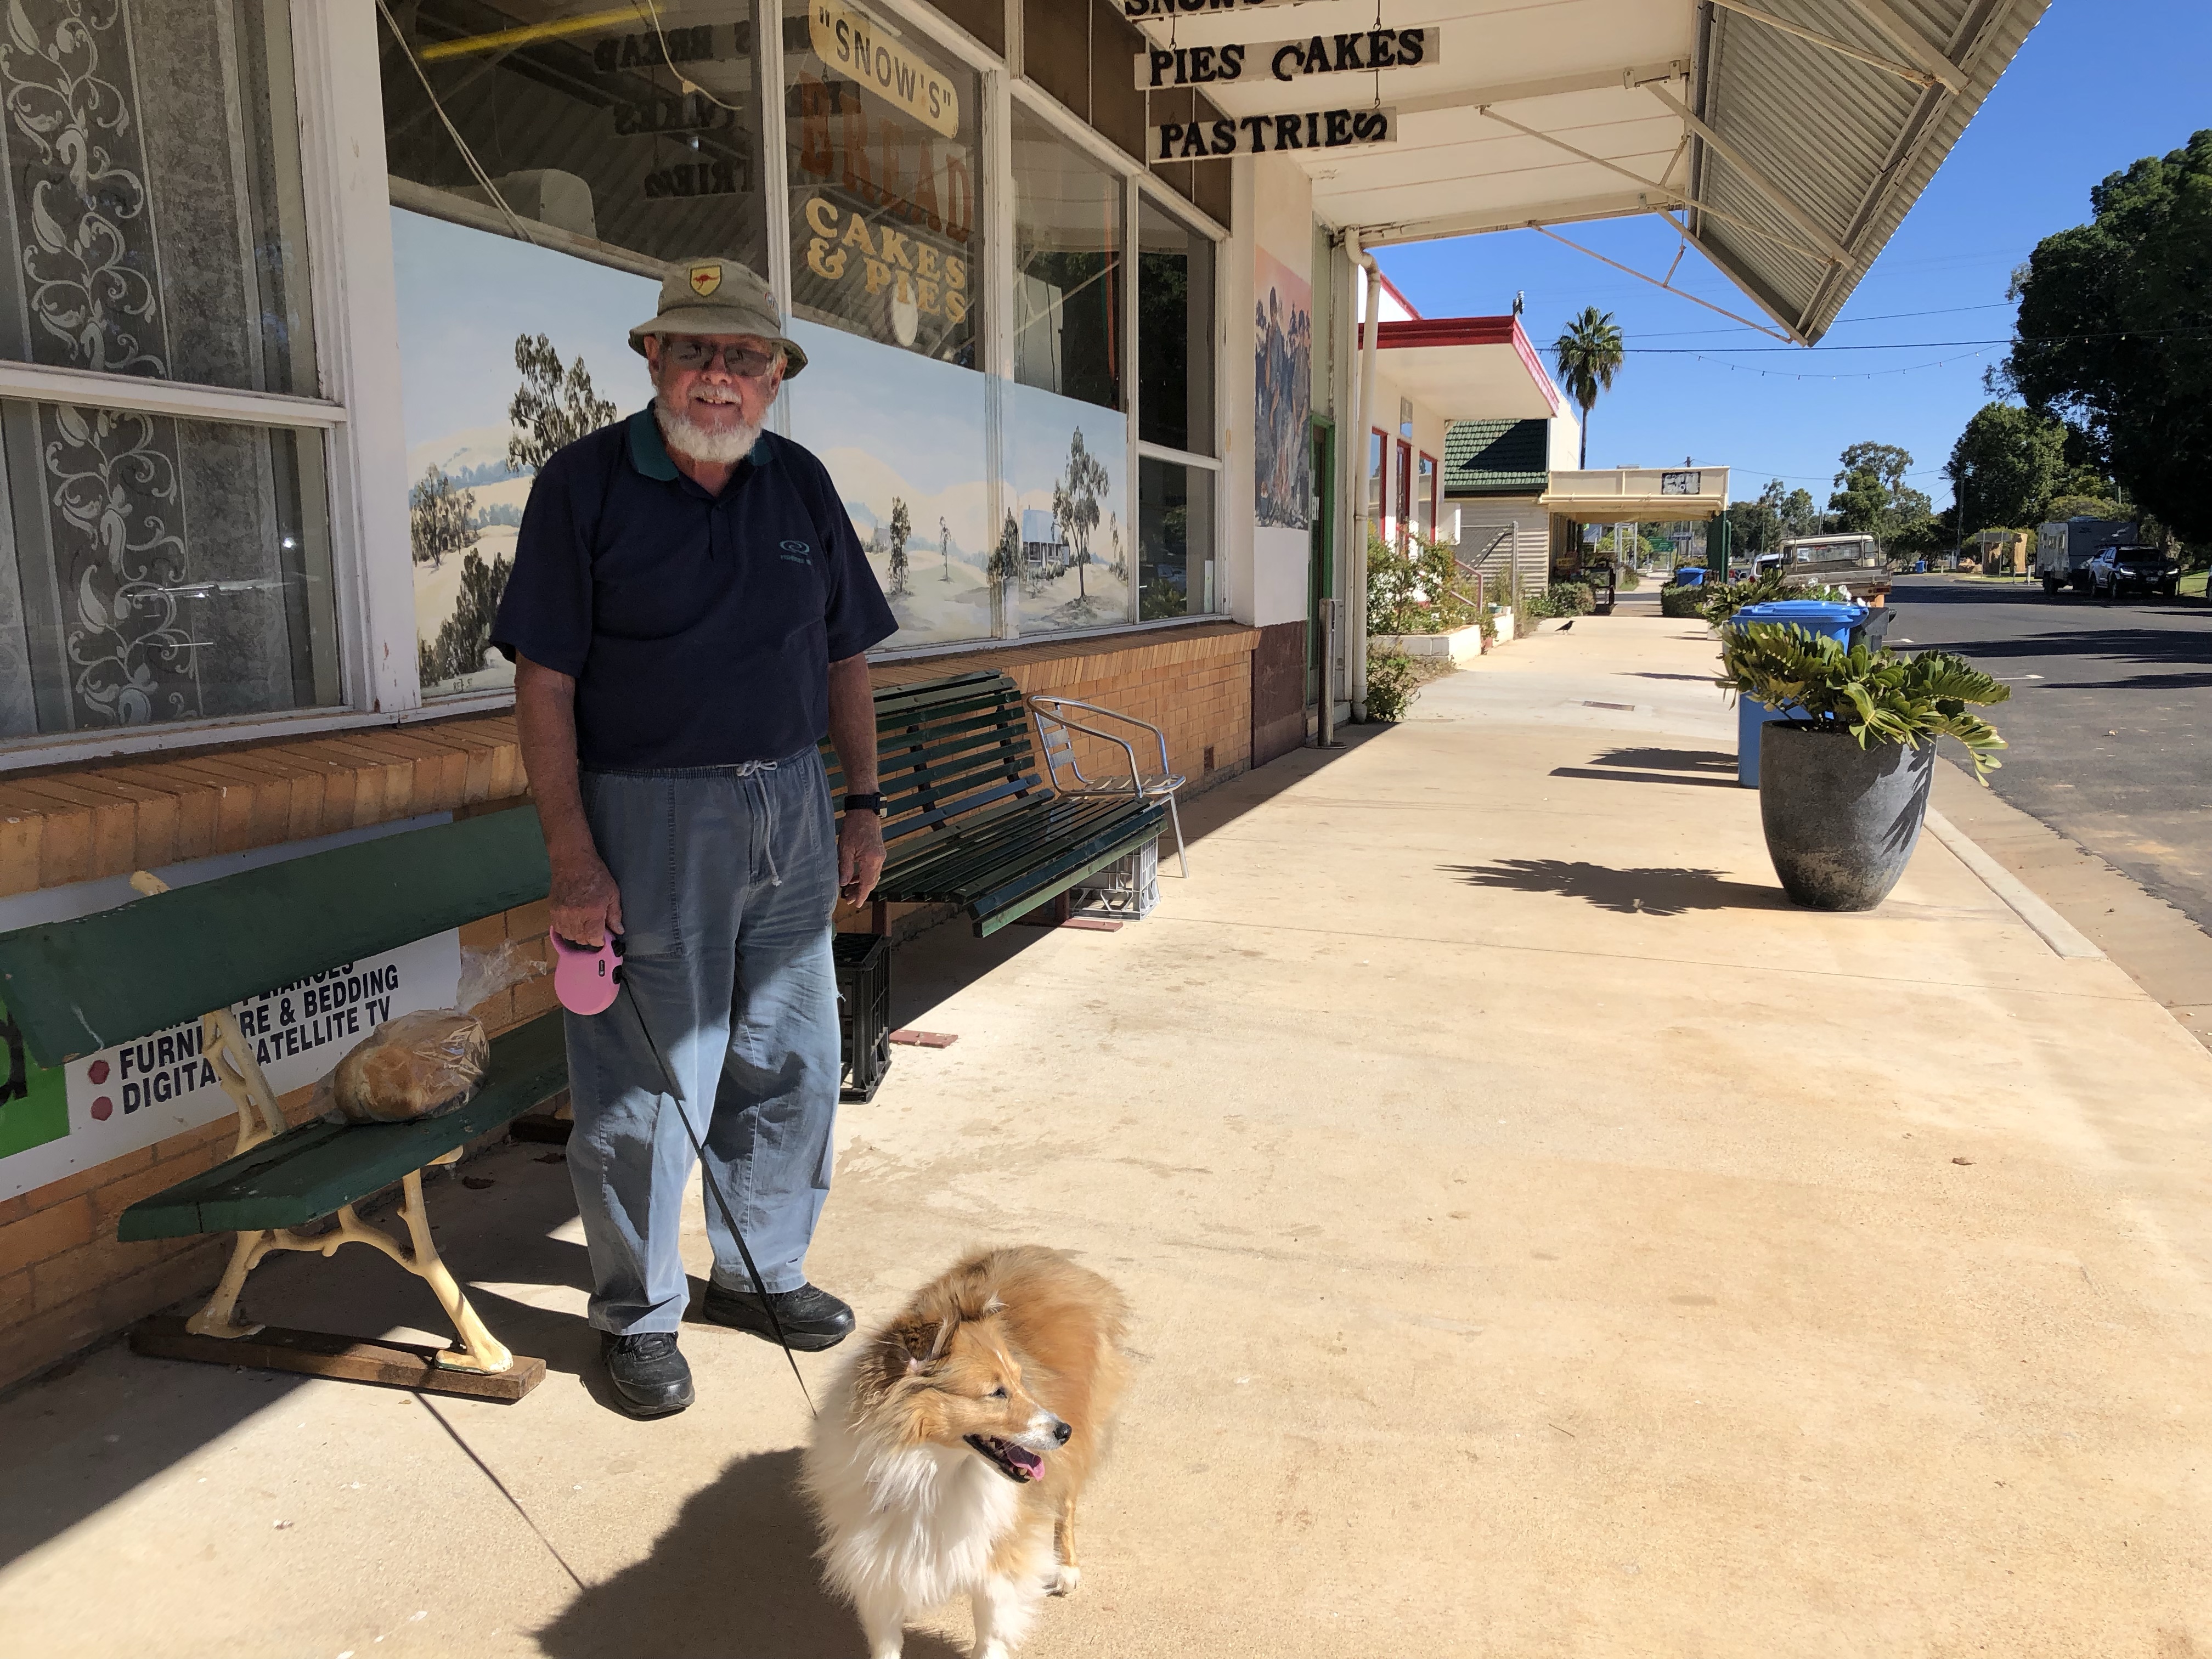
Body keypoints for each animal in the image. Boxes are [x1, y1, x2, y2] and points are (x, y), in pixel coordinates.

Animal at [801, 1245, 1130, 1659]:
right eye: (996, 1392)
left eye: (1020, 1382)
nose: (1064, 1431)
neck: (930, 1470)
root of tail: (1040, 1253)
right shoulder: (880, 1562)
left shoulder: (999, 1563)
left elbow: (991, 1633)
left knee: (1066, 1504)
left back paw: (1067, 1569)